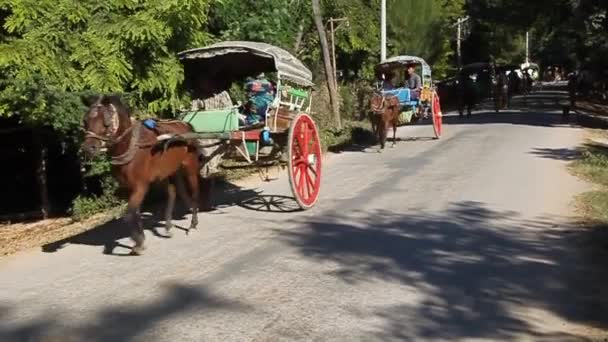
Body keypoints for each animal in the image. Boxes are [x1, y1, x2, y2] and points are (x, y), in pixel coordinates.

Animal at [81, 95, 202, 255]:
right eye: (85, 120)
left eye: (106, 121)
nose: (88, 148)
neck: (131, 146)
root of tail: (185, 125)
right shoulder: (128, 187)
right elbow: (134, 213)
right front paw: (140, 238)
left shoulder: (141, 185)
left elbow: (128, 215)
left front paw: (138, 242)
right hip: (169, 171)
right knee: (173, 193)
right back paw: (168, 226)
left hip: (189, 167)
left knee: (194, 192)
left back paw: (193, 224)